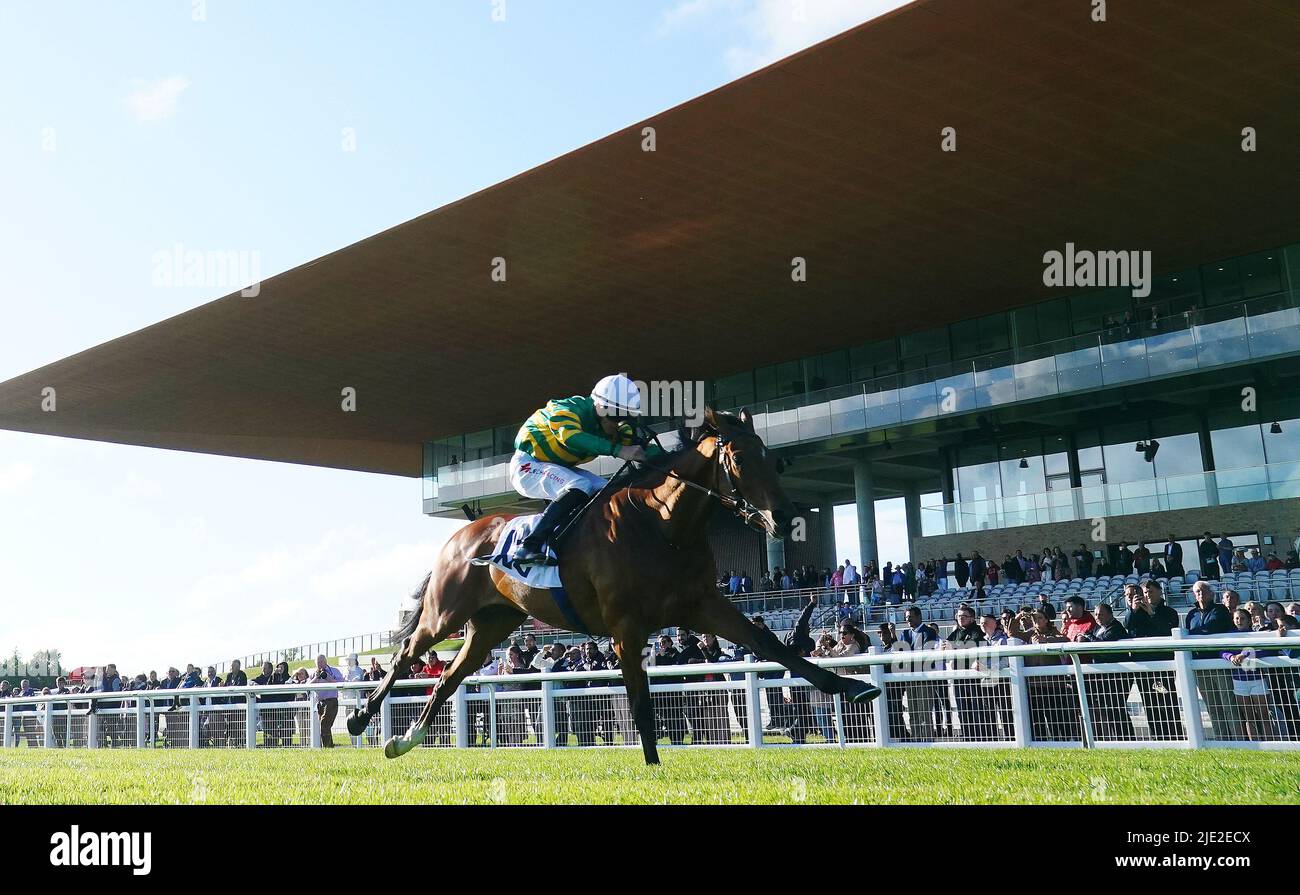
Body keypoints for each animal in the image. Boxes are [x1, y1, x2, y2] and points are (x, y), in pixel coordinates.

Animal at [345, 405, 878, 759]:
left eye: (775, 458)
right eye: (742, 460)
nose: (785, 518)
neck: (661, 523)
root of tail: (460, 534)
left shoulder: (702, 604)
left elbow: (772, 644)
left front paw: (851, 687)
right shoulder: (626, 625)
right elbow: (640, 702)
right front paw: (654, 766)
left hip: (490, 626)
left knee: (447, 678)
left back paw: (404, 739)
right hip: (445, 613)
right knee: (404, 654)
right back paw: (360, 717)